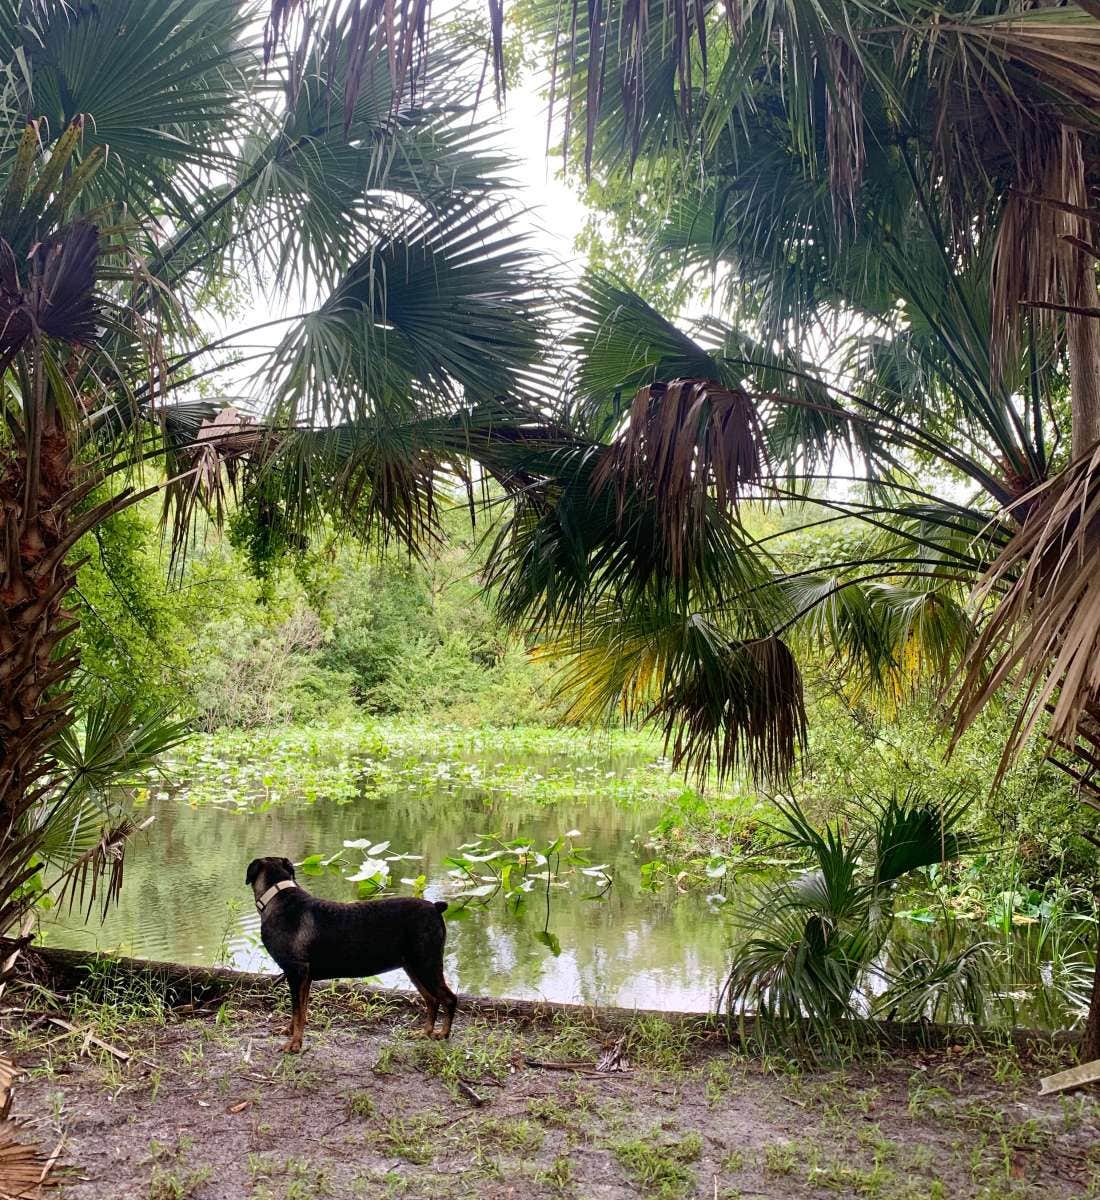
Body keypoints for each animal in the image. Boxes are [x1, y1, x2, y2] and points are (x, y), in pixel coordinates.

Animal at [247, 854, 458, 1051]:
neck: (277, 898)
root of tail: (435, 907)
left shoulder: (296, 972)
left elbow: (297, 1011)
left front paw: (294, 1044)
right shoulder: (304, 977)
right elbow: (302, 1010)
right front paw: (290, 1032)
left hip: (426, 965)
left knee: (449, 999)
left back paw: (443, 1033)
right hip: (414, 968)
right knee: (432, 1000)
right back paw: (425, 1032)